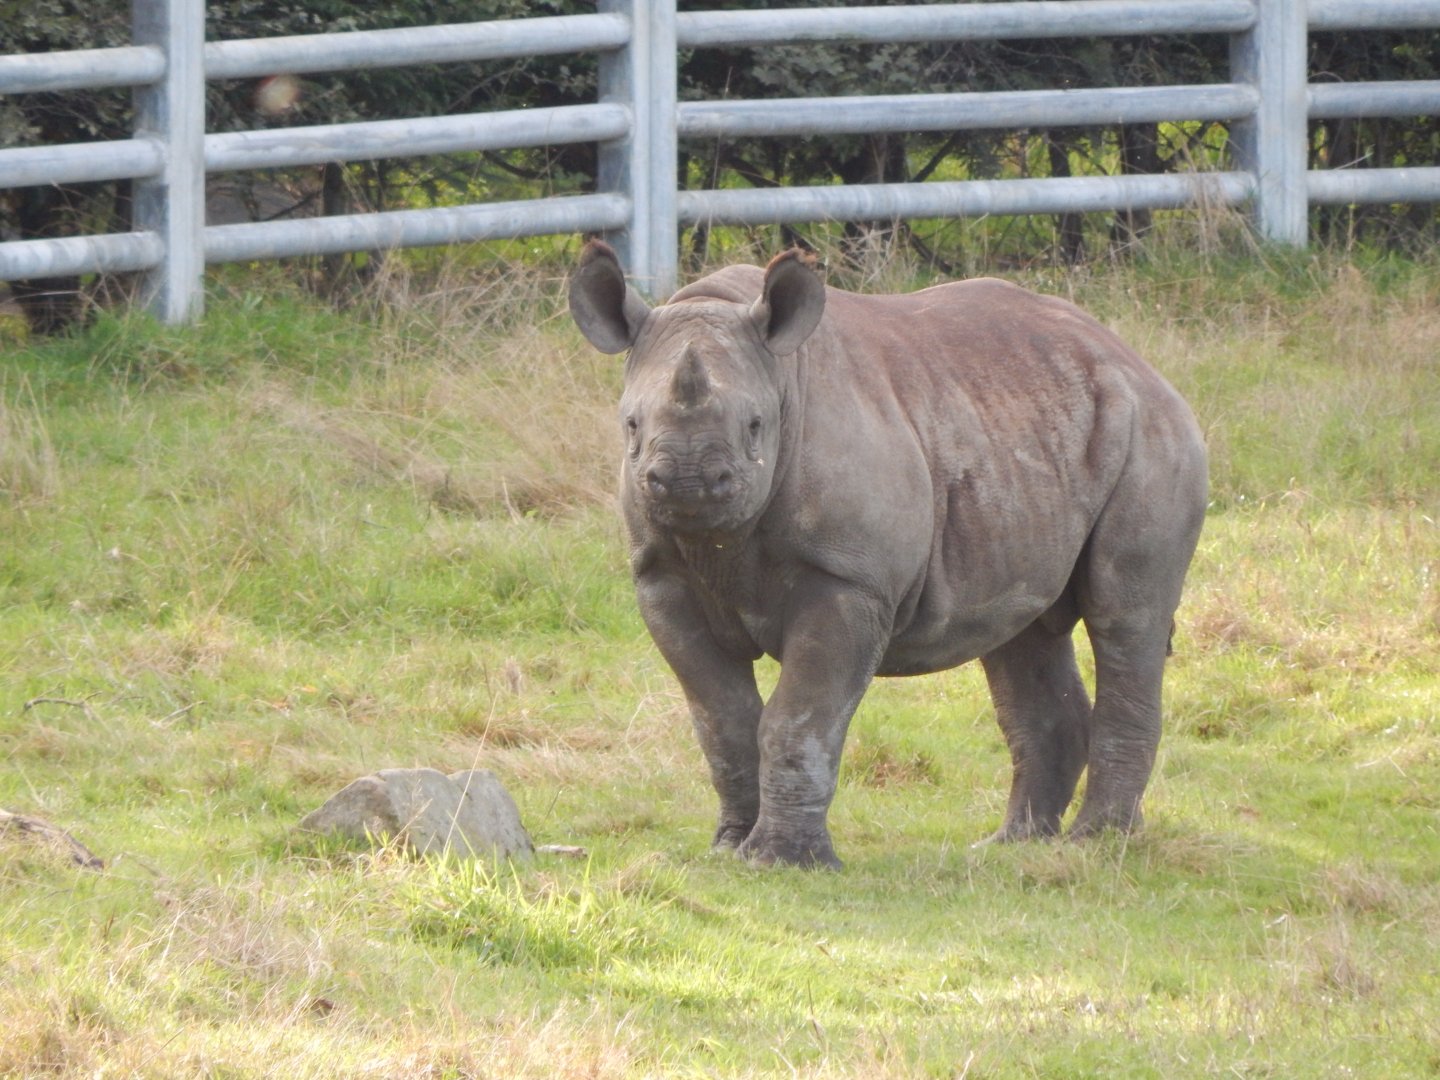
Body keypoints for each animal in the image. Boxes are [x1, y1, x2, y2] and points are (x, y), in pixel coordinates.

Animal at [569, 240, 1207, 868]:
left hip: (1150, 433)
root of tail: (1134, 359)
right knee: (1021, 631)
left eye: (755, 426)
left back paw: (1096, 845)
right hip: (1024, 431)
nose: (689, 483)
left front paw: (779, 862)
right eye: (631, 425)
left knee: (1125, 618)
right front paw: (729, 849)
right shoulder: (660, 576)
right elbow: (722, 717)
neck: (782, 379)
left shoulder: (849, 579)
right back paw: (1012, 846)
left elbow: (800, 714)